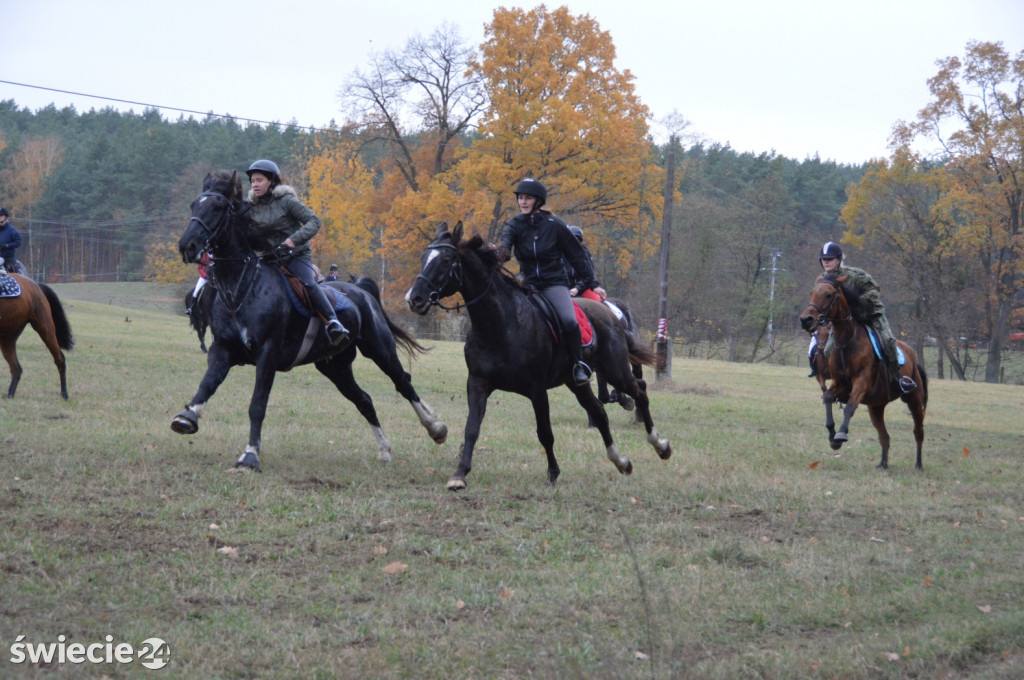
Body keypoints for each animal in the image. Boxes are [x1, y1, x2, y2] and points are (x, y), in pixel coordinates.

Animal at [0, 270, 74, 399]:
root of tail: (36, 286)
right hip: (7, 337)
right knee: (16, 368)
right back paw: (10, 395)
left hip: (46, 328)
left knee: (60, 359)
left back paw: (64, 394)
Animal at [171, 168, 444, 473]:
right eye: (194, 205)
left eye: (218, 207)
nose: (187, 246)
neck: (241, 287)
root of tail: (361, 291)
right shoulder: (223, 350)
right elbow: (207, 384)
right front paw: (187, 417)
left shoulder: (267, 354)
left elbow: (257, 405)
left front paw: (250, 455)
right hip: (335, 367)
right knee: (364, 400)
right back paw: (384, 450)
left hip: (380, 350)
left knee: (403, 383)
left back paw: (435, 427)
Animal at [403, 225, 667, 491]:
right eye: (423, 258)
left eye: (446, 260)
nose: (414, 299)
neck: (501, 324)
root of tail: (610, 313)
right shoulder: (477, 383)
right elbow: (472, 428)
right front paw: (459, 474)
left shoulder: (537, 390)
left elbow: (545, 433)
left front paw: (553, 473)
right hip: (576, 382)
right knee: (600, 412)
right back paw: (621, 461)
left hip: (615, 371)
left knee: (640, 391)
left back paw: (660, 444)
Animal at [798, 274, 929, 471]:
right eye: (812, 292)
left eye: (828, 294)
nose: (806, 319)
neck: (847, 341)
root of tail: (911, 353)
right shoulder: (839, 383)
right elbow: (827, 397)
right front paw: (832, 434)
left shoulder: (862, 382)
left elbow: (850, 406)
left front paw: (841, 434)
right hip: (876, 407)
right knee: (884, 437)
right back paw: (882, 464)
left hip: (914, 400)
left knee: (918, 432)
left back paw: (919, 464)